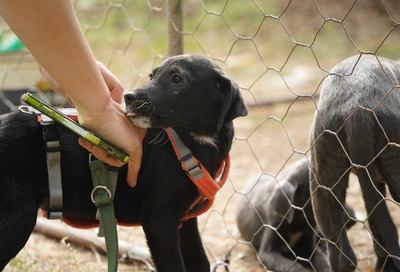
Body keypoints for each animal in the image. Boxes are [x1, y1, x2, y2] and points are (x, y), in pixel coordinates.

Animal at [0, 55, 247, 272]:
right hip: (15, 218)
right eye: (152, 75)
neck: (193, 142)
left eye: (177, 79)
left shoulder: (186, 220)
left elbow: (200, 262)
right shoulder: (159, 221)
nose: (129, 96)